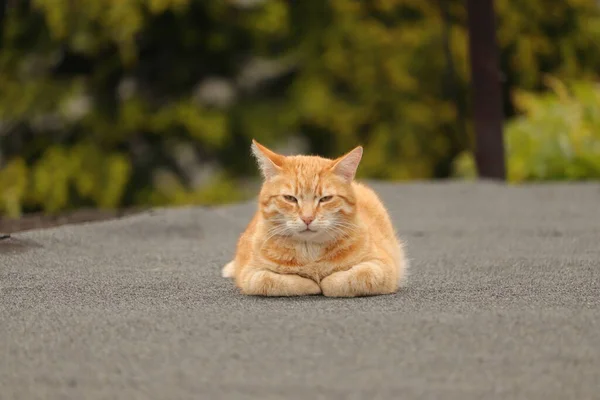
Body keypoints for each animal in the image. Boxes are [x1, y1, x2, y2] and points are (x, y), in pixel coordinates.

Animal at [220, 141, 408, 296]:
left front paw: (326, 281)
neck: (310, 251)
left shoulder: (383, 267)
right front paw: (311, 283)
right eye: (290, 198)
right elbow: (275, 281)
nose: (307, 218)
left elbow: (349, 279)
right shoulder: (251, 274)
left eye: (325, 199)